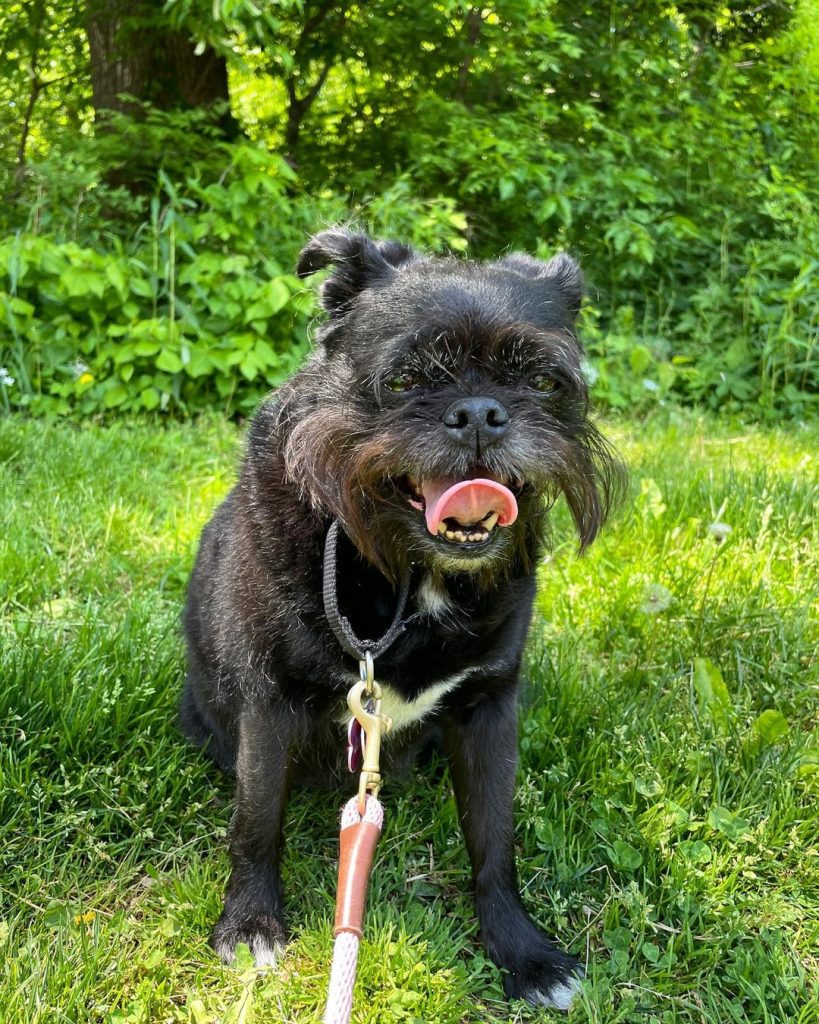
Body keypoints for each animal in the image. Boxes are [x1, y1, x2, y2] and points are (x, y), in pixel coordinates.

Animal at [182, 230, 622, 1007]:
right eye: (406, 379)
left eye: (542, 381)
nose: (480, 412)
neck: (412, 572)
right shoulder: (269, 705)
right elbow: (256, 820)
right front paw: (251, 923)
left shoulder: (488, 710)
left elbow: (493, 838)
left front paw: (522, 951)